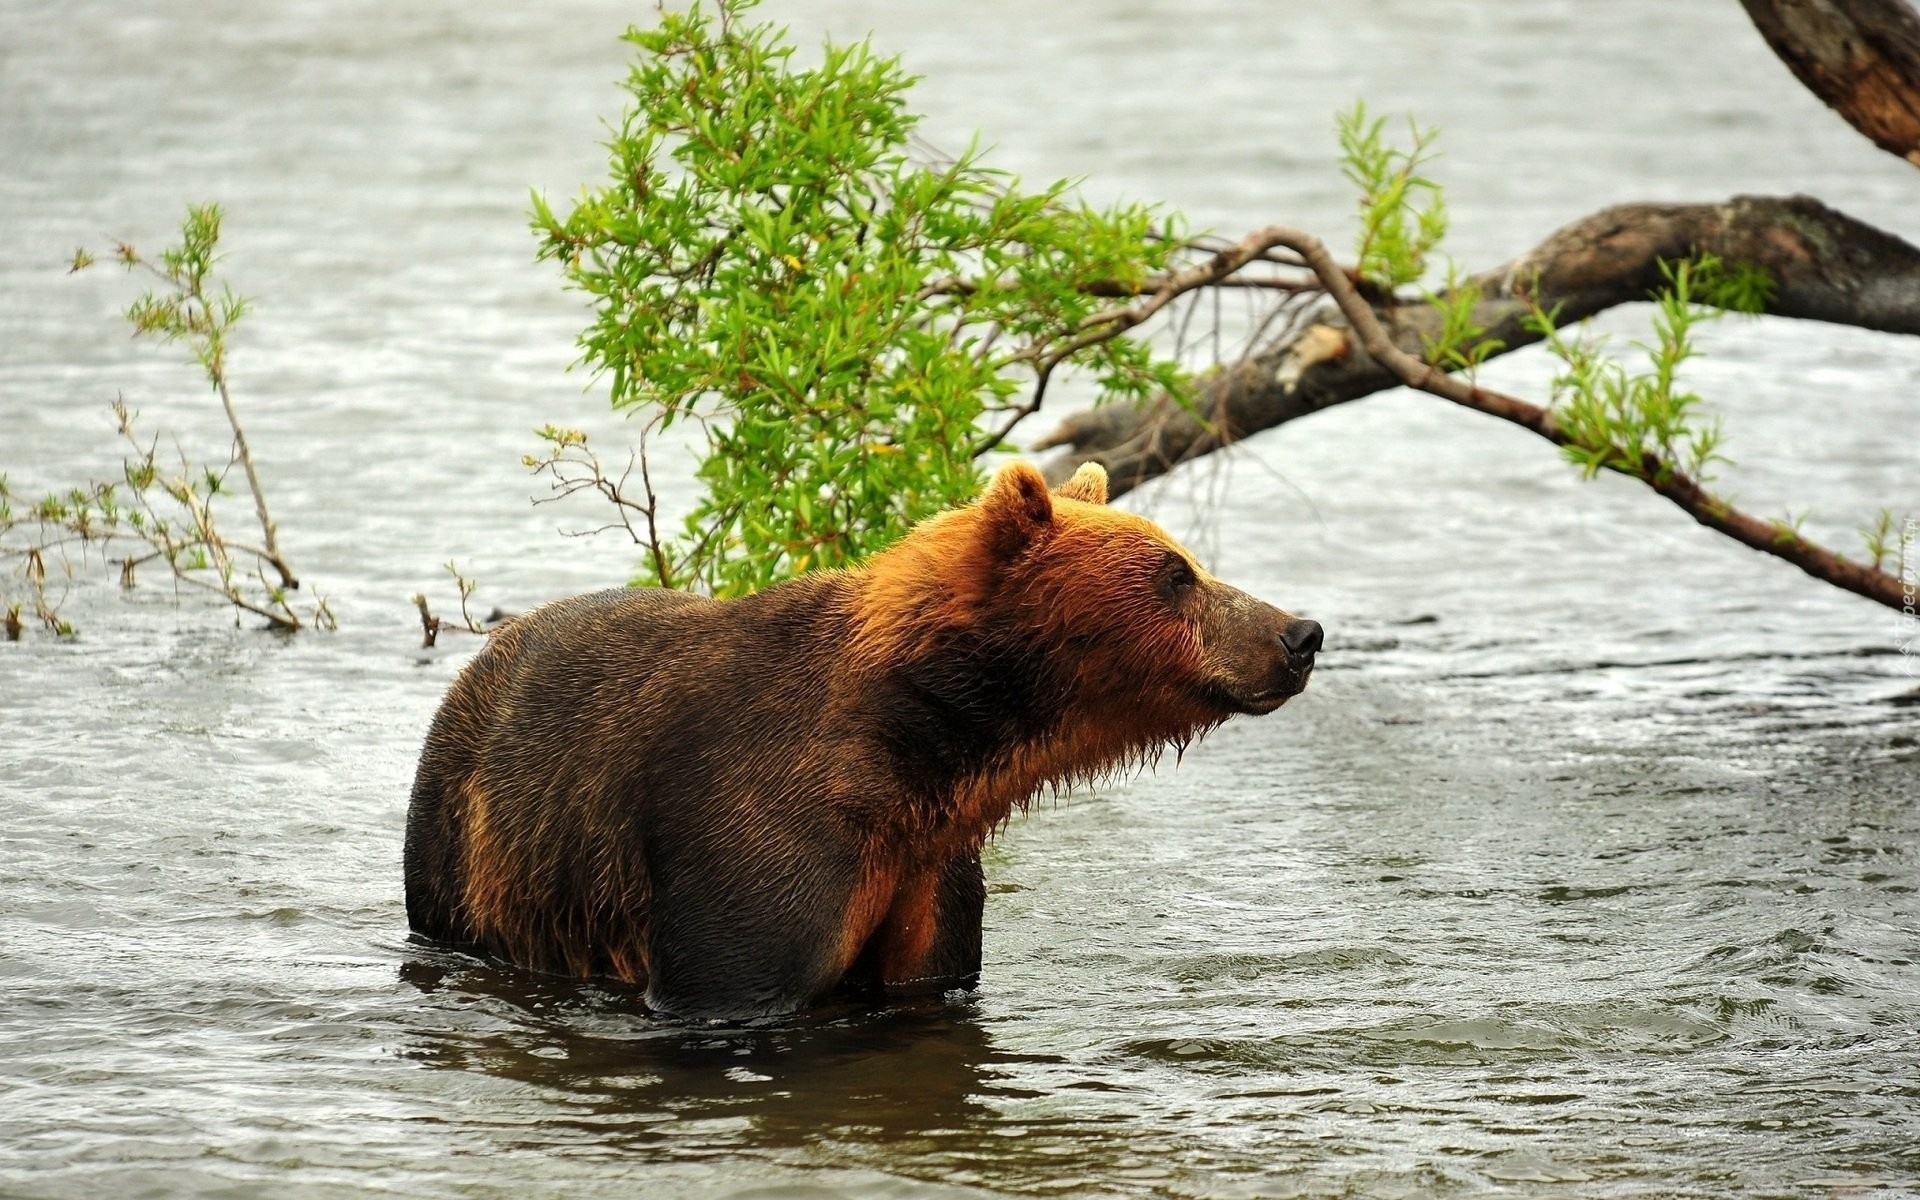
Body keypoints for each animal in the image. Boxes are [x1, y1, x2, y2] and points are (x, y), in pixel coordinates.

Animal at [405, 458, 1320, 1021]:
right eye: (1176, 574)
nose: (1299, 633)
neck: (916, 745)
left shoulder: (928, 870)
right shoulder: (751, 833)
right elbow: (733, 972)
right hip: (463, 841)